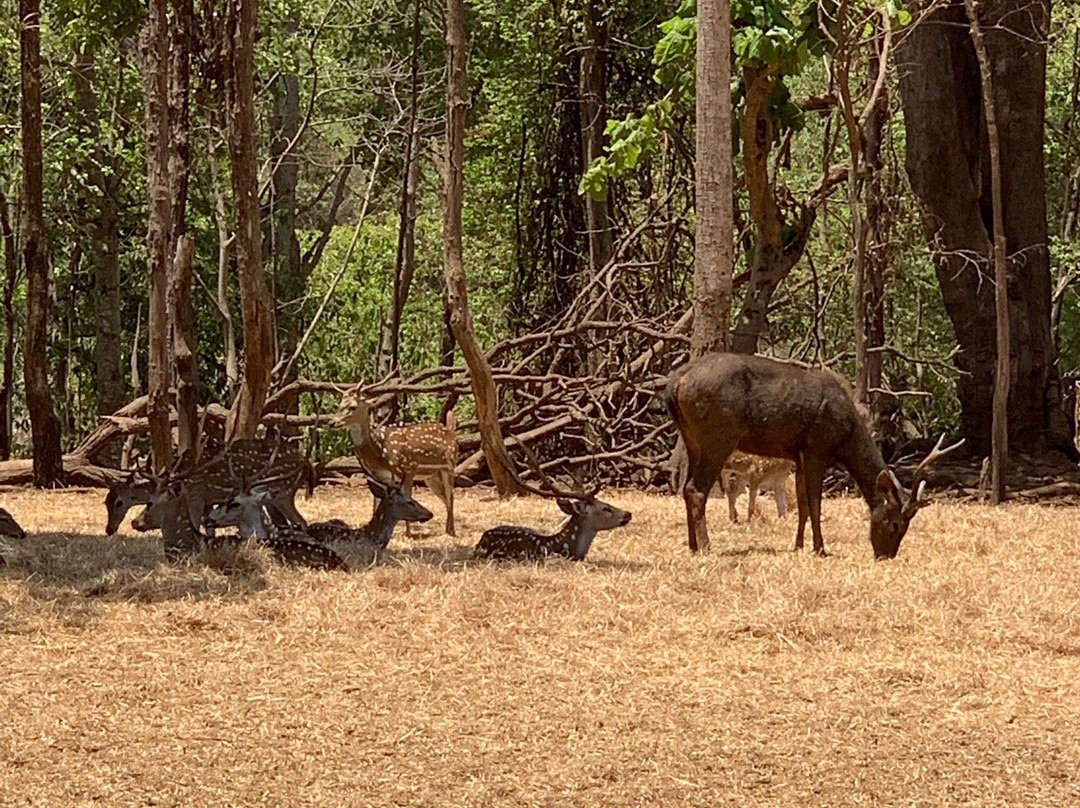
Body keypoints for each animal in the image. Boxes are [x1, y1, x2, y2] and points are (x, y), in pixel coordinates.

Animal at [332, 386, 460, 535]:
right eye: (340, 404)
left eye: (352, 406)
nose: (332, 422)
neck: (380, 451)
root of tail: (452, 431)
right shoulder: (379, 477)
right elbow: (378, 502)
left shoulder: (409, 468)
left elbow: (408, 496)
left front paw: (408, 533)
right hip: (431, 476)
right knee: (445, 497)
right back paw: (447, 530)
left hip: (449, 466)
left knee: (451, 496)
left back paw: (451, 532)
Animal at [665, 354, 963, 557]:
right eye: (895, 524)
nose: (885, 555)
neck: (846, 436)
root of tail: (676, 382)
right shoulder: (816, 447)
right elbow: (815, 502)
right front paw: (820, 548)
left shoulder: (797, 455)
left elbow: (803, 504)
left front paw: (797, 545)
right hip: (719, 435)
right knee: (696, 489)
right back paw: (706, 546)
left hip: (692, 437)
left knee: (686, 487)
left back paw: (692, 545)